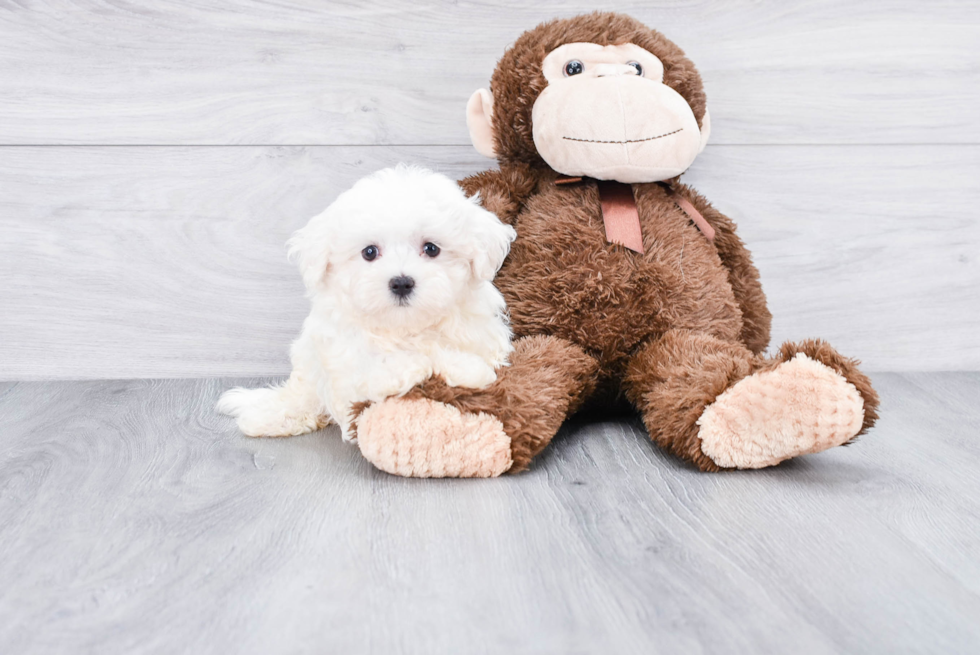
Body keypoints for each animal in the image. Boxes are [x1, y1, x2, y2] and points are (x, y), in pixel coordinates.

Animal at [217, 164, 516, 444]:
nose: (401, 283)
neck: (405, 328)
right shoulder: (351, 365)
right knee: (300, 395)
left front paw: (468, 369)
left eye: (432, 248)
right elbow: (395, 366)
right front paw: (444, 365)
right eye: (369, 252)